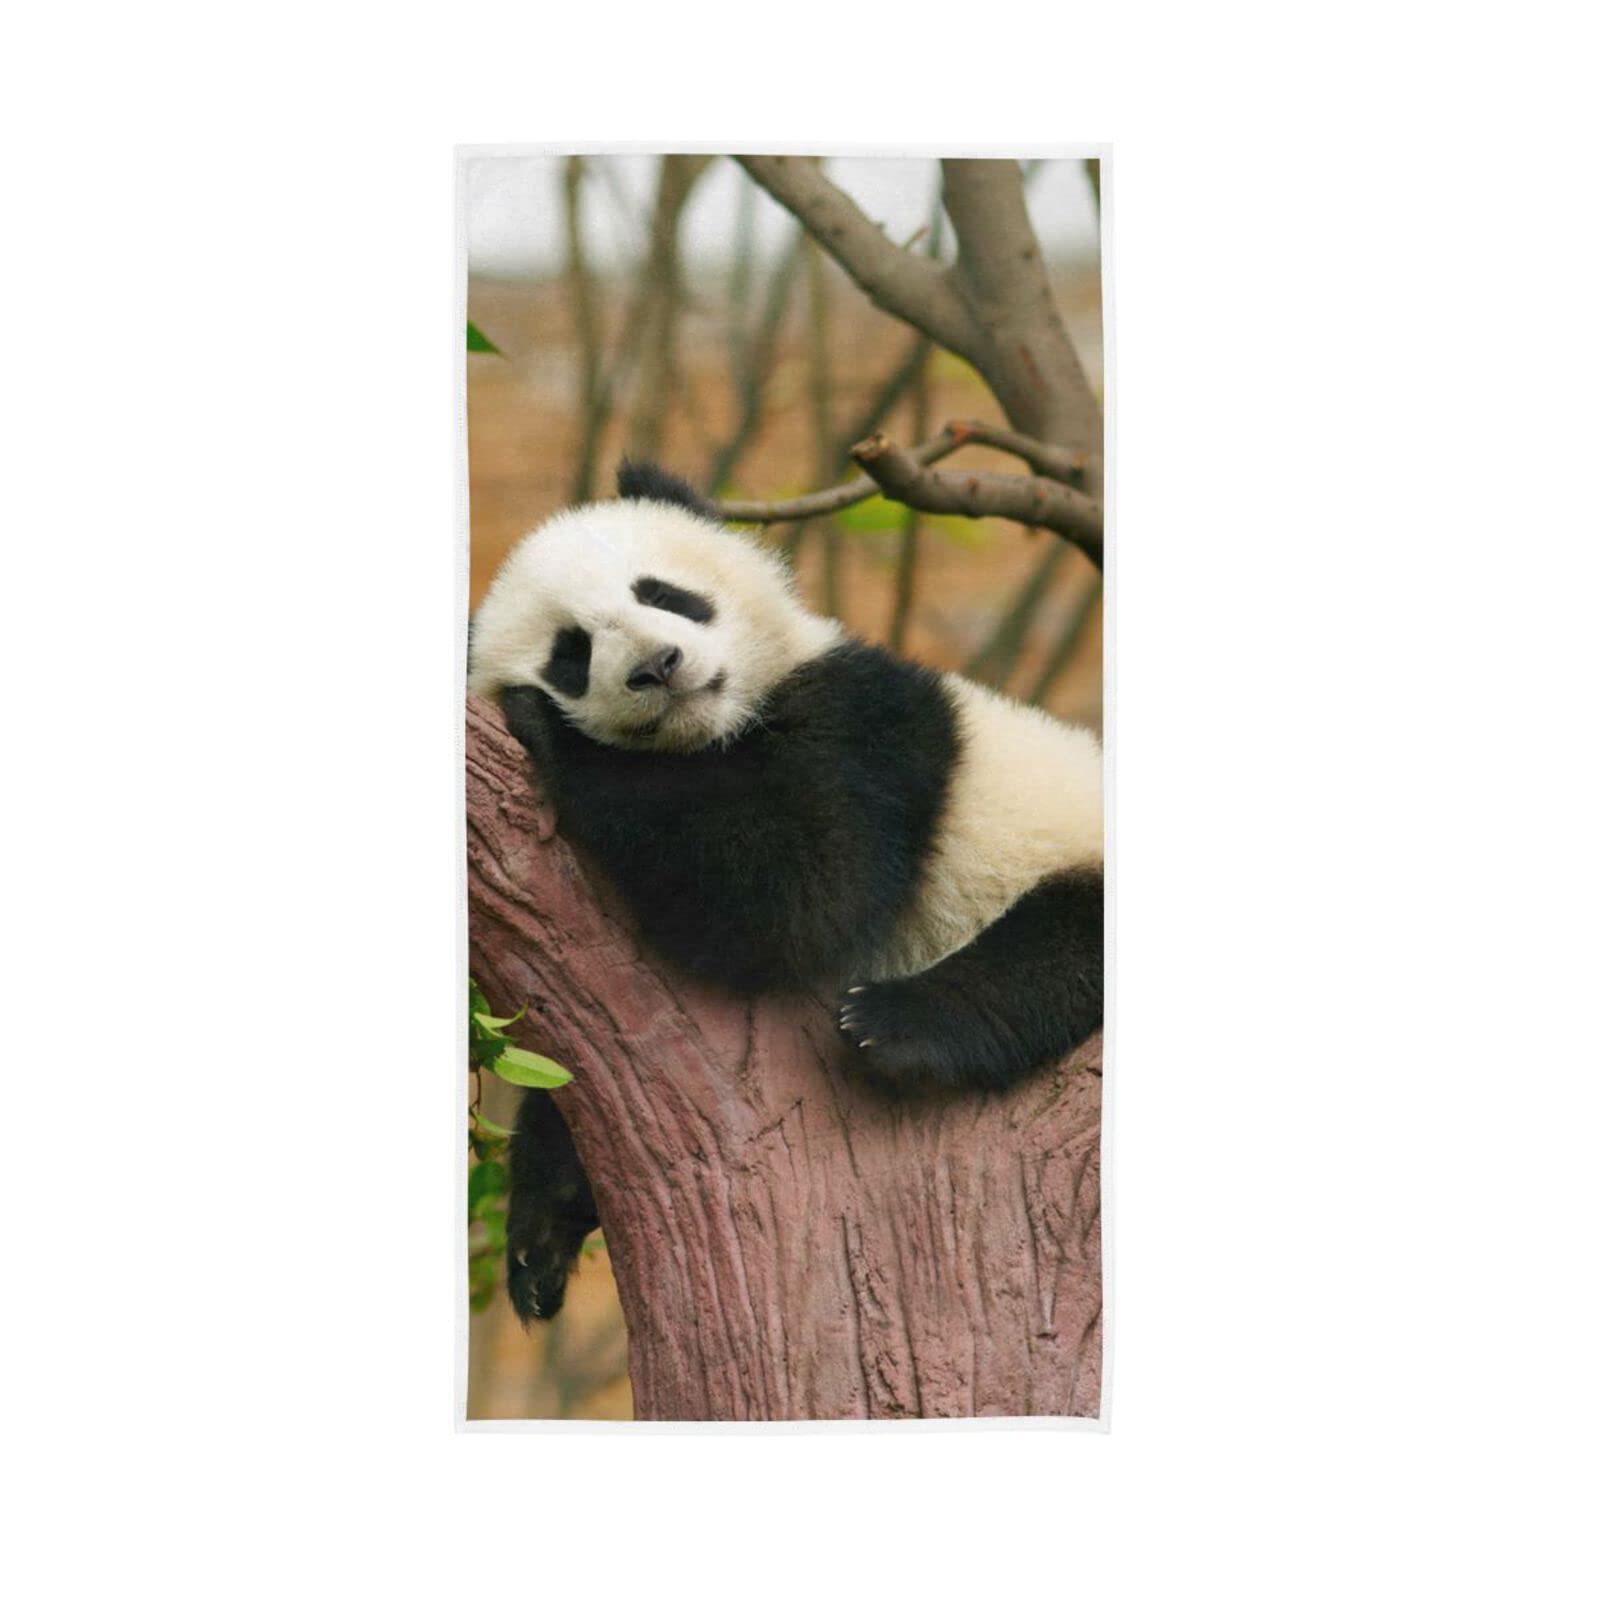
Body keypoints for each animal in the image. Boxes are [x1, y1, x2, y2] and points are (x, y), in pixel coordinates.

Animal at [469, 460, 1104, 1320]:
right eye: (571, 652)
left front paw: (551, 732)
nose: (657, 666)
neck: (716, 731)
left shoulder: (869, 726)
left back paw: (897, 1023)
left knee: (1055, 947)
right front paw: (542, 1231)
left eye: (664, 593)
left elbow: (798, 893)